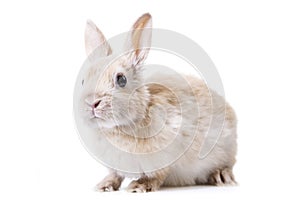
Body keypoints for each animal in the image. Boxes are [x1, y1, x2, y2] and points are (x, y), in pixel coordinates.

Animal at [76, 12, 238, 192]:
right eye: (83, 81)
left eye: (121, 79)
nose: (92, 103)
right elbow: (115, 175)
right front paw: (104, 186)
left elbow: (156, 175)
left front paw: (138, 186)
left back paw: (221, 176)